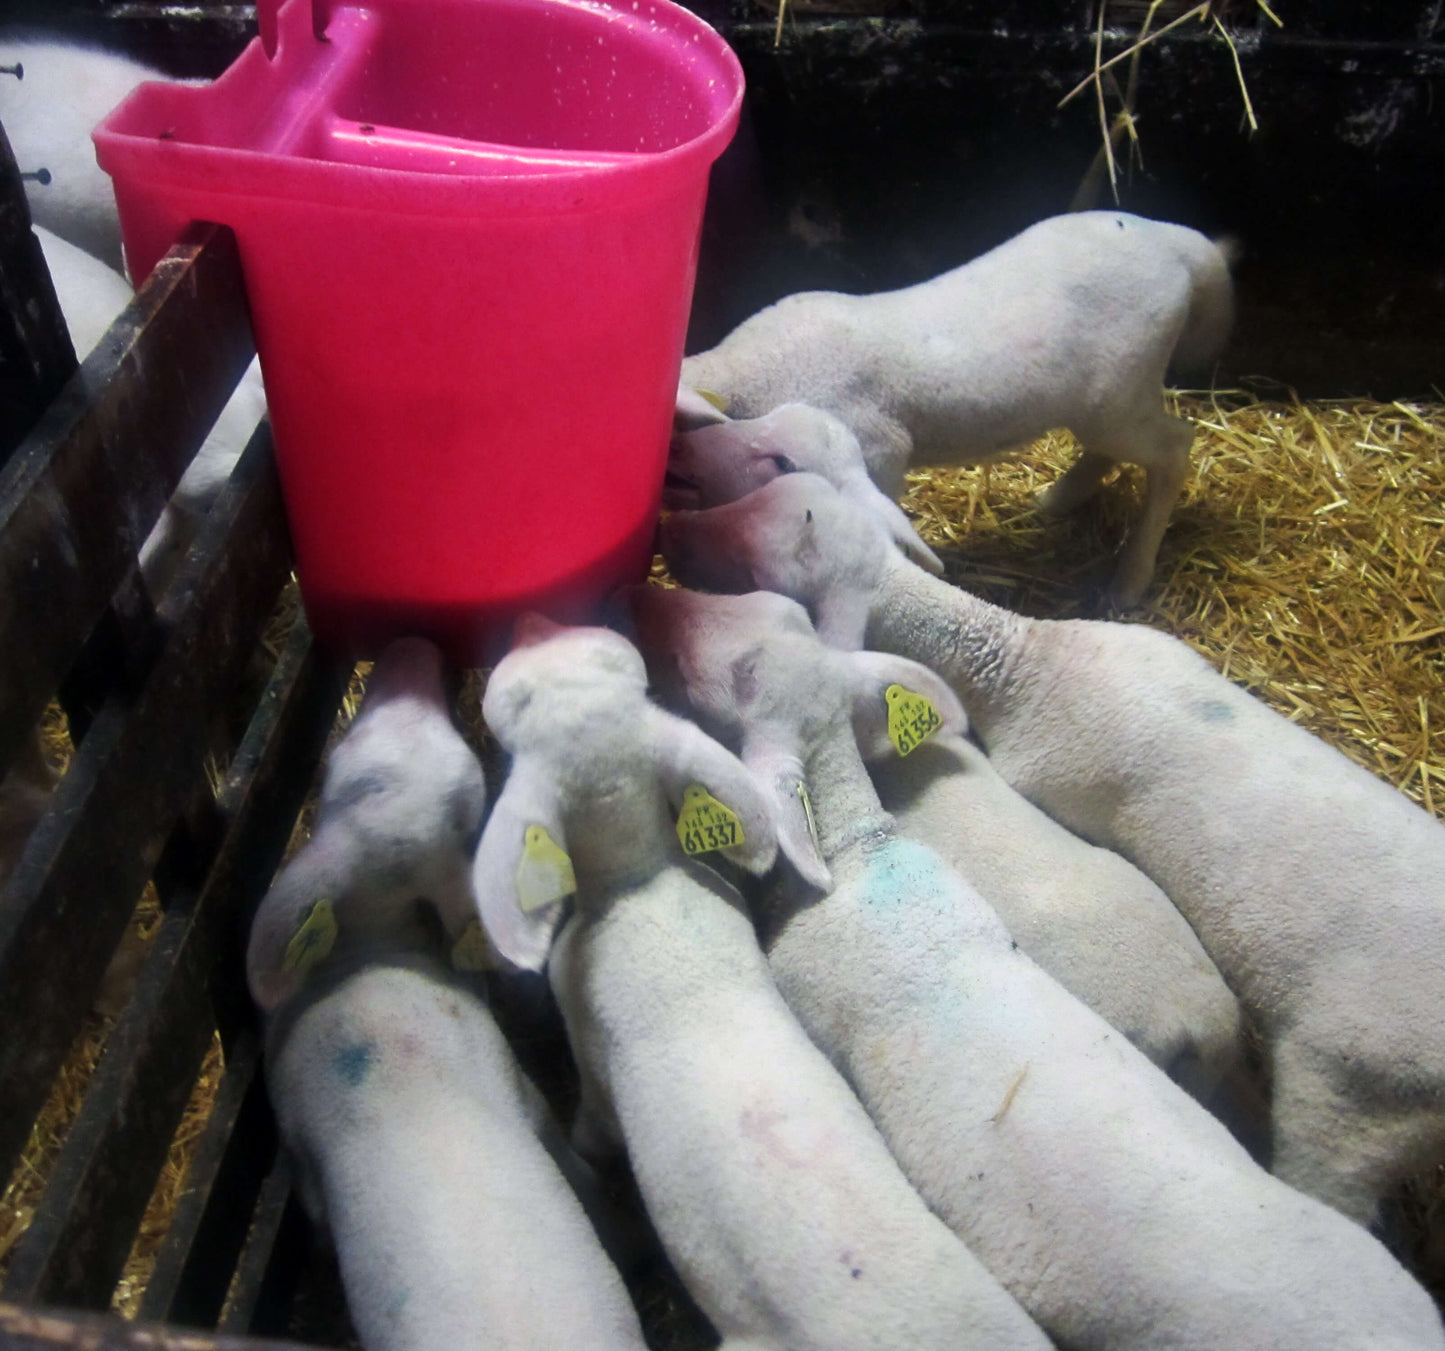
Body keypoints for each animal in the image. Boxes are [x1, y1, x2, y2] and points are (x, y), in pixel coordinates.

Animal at [677, 210, 1236, 604]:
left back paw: (1130, 580)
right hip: (1110, 402)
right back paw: (1057, 500)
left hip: (1120, 393)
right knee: (1114, 450)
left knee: (1175, 446)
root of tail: (1183, 245)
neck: (751, 367)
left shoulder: (878, 450)